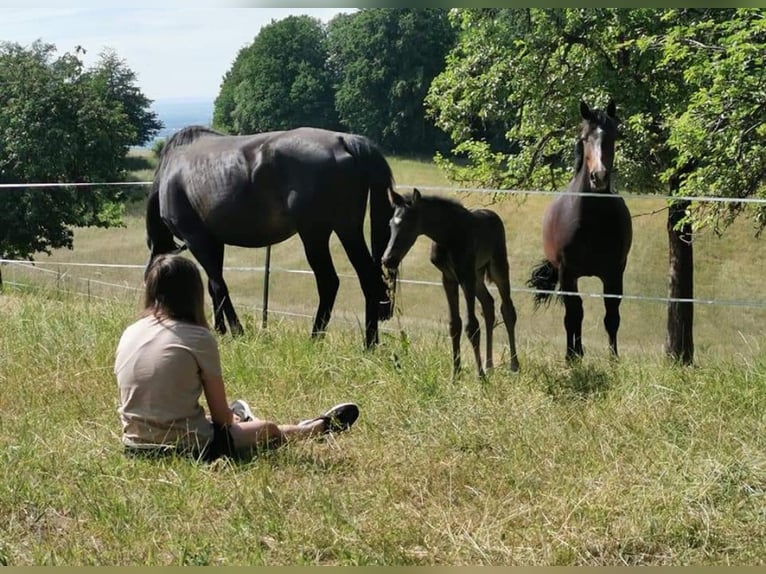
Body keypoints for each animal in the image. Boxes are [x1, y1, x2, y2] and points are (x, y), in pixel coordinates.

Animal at [146, 126, 396, 348]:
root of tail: (343, 140)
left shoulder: (197, 239)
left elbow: (219, 286)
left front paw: (236, 331)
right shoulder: (214, 242)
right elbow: (213, 286)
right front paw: (219, 330)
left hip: (314, 234)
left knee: (329, 282)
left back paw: (315, 340)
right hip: (348, 229)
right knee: (368, 278)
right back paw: (369, 345)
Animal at [384, 187, 520, 380]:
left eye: (409, 224)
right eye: (391, 224)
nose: (388, 259)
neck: (448, 236)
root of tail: (492, 214)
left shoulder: (466, 276)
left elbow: (472, 326)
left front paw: (480, 377)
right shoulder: (448, 278)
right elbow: (454, 324)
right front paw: (455, 375)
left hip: (497, 267)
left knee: (507, 309)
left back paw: (514, 365)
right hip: (478, 275)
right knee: (488, 305)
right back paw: (489, 366)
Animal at [528, 98, 636, 360]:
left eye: (613, 136)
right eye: (585, 137)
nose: (599, 176)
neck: (590, 220)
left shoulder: (614, 273)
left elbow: (612, 317)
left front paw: (613, 359)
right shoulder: (567, 273)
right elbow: (573, 315)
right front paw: (571, 356)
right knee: (575, 311)